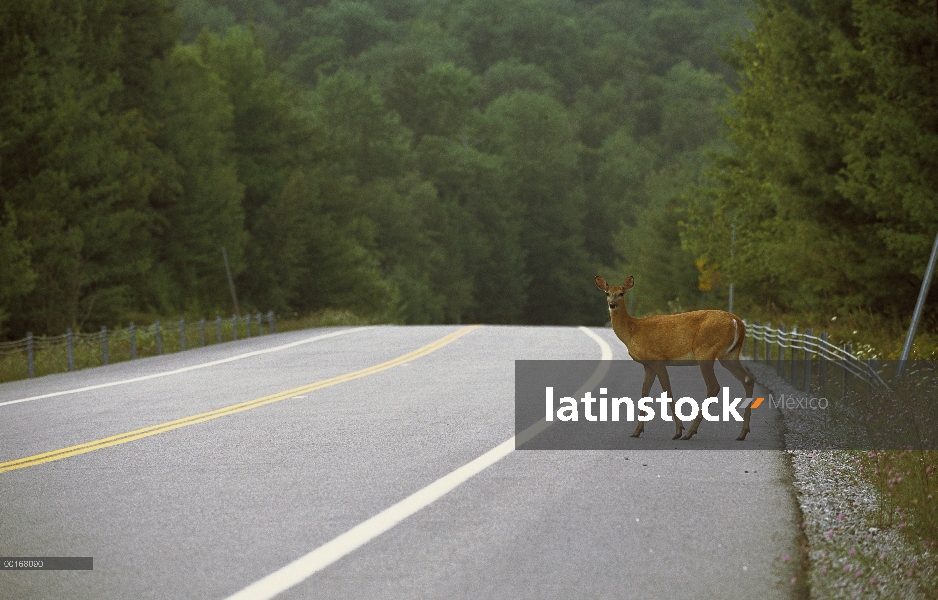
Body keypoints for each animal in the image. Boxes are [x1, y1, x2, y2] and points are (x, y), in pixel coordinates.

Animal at [596, 276, 756, 440]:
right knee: (748, 379)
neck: (633, 330)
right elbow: (644, 393)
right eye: (607, 293)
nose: (612, 304)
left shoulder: (657, 358)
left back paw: (689, 432)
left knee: (714, 386)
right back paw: (742, 433)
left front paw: (678, 430)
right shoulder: (647, 365)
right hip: (729, 354)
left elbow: (667, 391)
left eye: (621, 293)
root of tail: (737, 322)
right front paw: (637, 431)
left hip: (705, 350)